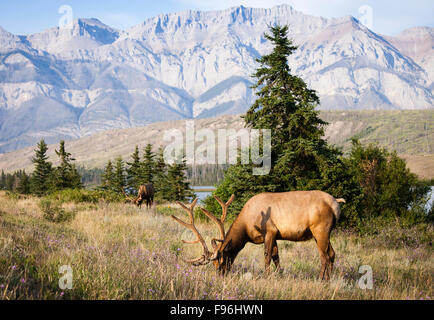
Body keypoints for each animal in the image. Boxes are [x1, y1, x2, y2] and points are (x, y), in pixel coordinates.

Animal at [171, 190, 344, 280]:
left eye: (220, 261)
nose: (220, 276)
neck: (246, 228)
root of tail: (335, 203)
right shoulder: (275, 236)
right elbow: (276, 256)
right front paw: (279, 275)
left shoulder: (270, 230)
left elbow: (267, 255)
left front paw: (267, 276)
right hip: (323, 232)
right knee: (332, 253)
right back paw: (329, 279)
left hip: (320, 229)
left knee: (324, 256)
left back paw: (321, 279)